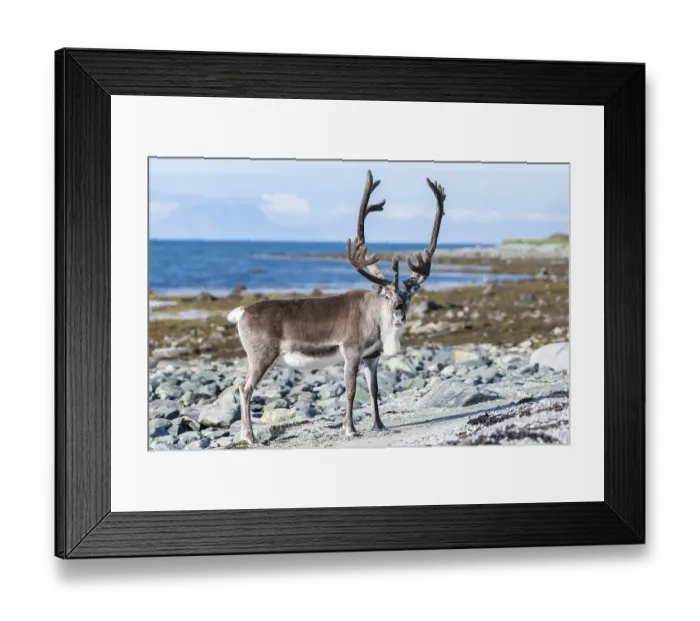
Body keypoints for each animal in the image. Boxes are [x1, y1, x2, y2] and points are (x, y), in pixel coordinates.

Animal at [227, 170, 446, 445]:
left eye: (407, 295)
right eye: (386, 294)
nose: (399, 310)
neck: (375, 321)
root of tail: (241, 313)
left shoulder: (372, 356)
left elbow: (374, 390)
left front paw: (379, 425)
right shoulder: (351, 351)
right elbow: (351, 390)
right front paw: (350, 428)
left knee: (243, 386)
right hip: (260, 354)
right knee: (245, 387)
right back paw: (249, 437)